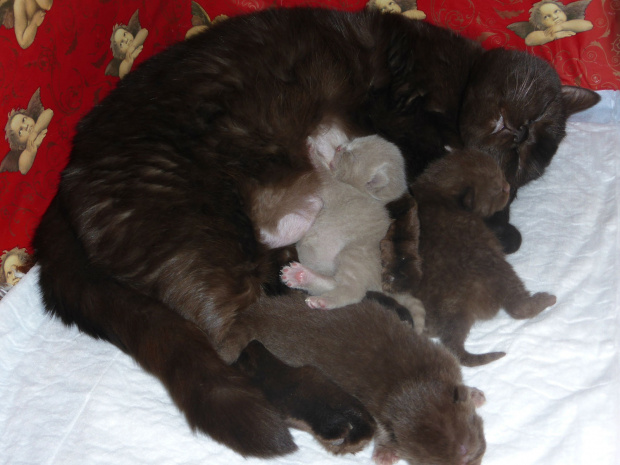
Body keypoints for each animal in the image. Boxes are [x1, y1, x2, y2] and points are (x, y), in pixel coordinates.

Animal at [220, 294, 486, 464]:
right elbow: (382, 431)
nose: (467, 454)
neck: (411, 381)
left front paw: (473, 393)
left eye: (473, 454)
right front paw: (386, 452)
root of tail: (252, 316)